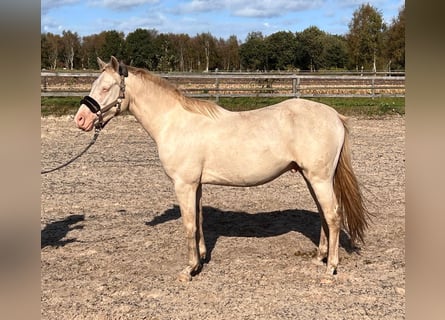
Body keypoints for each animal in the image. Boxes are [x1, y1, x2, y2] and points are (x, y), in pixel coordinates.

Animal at [74, 56, 370, 282]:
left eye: (106, 87)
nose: (81, 119)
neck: (175, 122)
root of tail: (335, 116)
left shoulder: (184, 184)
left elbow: (189, 225)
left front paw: (188, 270)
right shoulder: (196, 185)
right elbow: (199, 220)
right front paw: (201, 259)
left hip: (319, 178)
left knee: (332, 216)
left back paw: (331, 268)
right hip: (312, 178)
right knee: (323, 215)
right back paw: (320, 257)